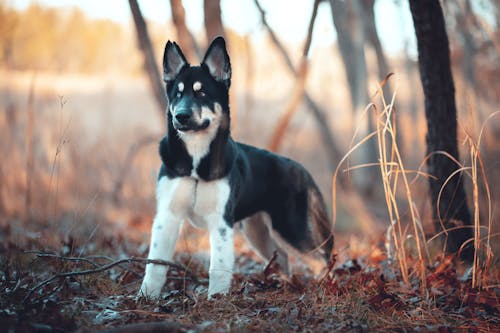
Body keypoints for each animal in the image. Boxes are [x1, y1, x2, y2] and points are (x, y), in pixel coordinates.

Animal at [139, 36, 334, 298]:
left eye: (202, 93)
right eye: (177, 95)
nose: (180, 116)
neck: (195, 163)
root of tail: (302, 170)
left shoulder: (221, 221)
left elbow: (218, 266)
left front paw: (215, 299)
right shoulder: (167, 216)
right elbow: (156, 263)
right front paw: (146, 298)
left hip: (291, 227)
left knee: (321, 258)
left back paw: (326, 287)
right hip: (257, 231)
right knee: (283, 257)